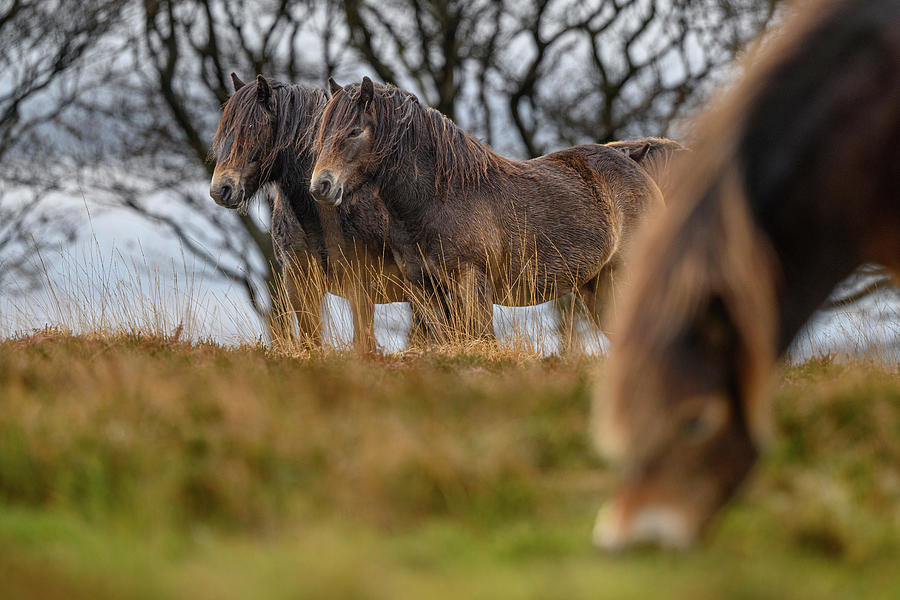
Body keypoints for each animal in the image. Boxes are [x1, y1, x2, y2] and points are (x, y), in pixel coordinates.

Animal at [209, 74, 406, 352]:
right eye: (225, 130)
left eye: (252, 128)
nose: (220, 189)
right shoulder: (299, 285)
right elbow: (310, 339)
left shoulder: (361, 287)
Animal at [308, 78, 660, 340]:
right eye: (323, 132)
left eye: (355, 131)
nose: (320, 186)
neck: (439, 197)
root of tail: (633, 161)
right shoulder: (423, 287)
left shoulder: (472, 280)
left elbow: (481, 338)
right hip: (595, 287)